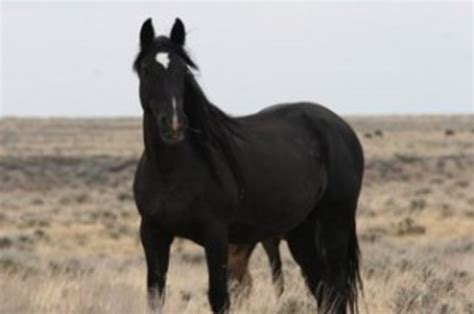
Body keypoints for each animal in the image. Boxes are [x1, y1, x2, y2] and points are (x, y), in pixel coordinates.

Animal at [132, 18, 362, 312]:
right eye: (146, 69)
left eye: (182, 70)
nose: (173, 125)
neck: (170, 172)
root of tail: (342, 127)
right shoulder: (153, 233)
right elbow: (155, 295)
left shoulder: (216, 236)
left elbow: (219, 297)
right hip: (302, 230)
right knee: (322, 288)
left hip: (336, 221)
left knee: (337, 287)